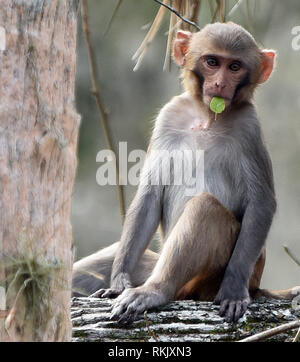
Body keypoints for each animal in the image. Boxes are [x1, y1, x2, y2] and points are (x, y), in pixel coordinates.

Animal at [73, 22, 300, 322]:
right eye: (212, 62)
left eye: (235, 67)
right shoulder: (168, 116)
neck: (207, 116)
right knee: (101, 260)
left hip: (206, 281)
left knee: (205, 209)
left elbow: (261, 202)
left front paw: (233, 289)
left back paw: (154, 291)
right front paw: (119, 280)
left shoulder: (249, 126)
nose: (219, 84)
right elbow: (149, 197)